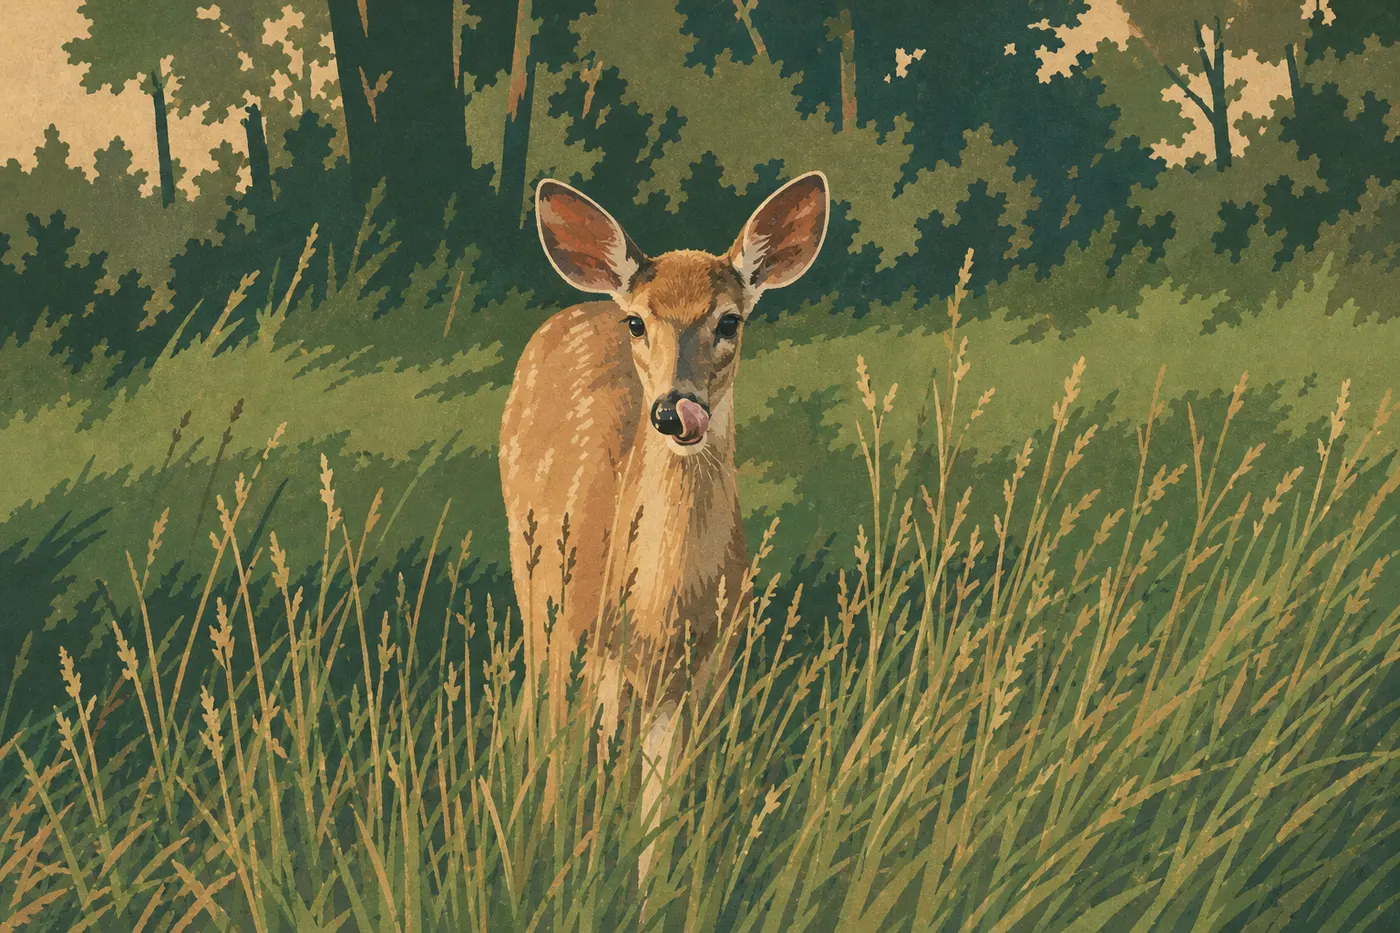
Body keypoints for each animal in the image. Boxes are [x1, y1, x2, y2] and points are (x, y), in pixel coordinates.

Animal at [498, 170, 829, 896]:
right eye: (638, 322)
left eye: (729, 320)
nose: (675, 411)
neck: (656, 615)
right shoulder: (579, 645)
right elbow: (572, 790)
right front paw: (557, 886)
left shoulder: (707, 675)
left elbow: (666, 826)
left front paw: (648, 898)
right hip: (533, 585)